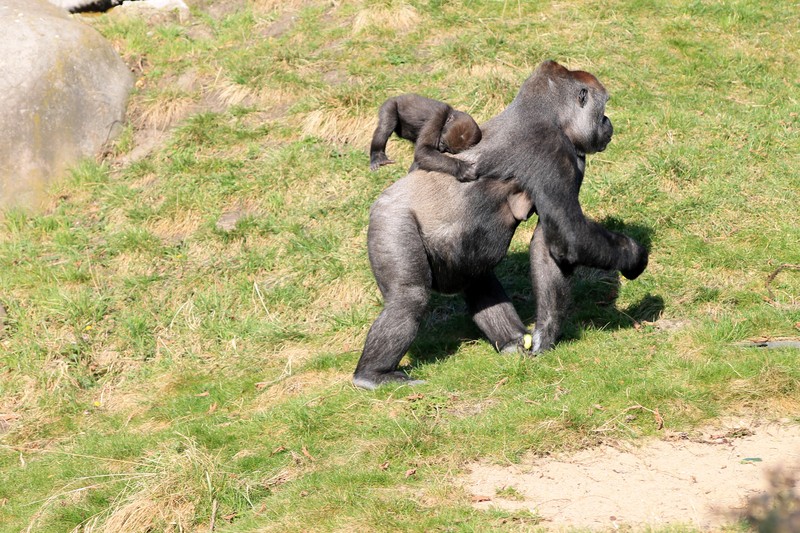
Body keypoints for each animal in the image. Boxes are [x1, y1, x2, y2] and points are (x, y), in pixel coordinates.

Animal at [352, 60, 648, 390]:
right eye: (602, 108)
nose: (608, 122)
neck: (548, 116)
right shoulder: (554, 148)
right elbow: (569, 236)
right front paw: (634, 256)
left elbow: (549, 243)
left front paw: (546, 333)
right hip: (389, 219)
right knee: (408, 297)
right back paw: (372, 374)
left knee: (477, 276)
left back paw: (512, 341)